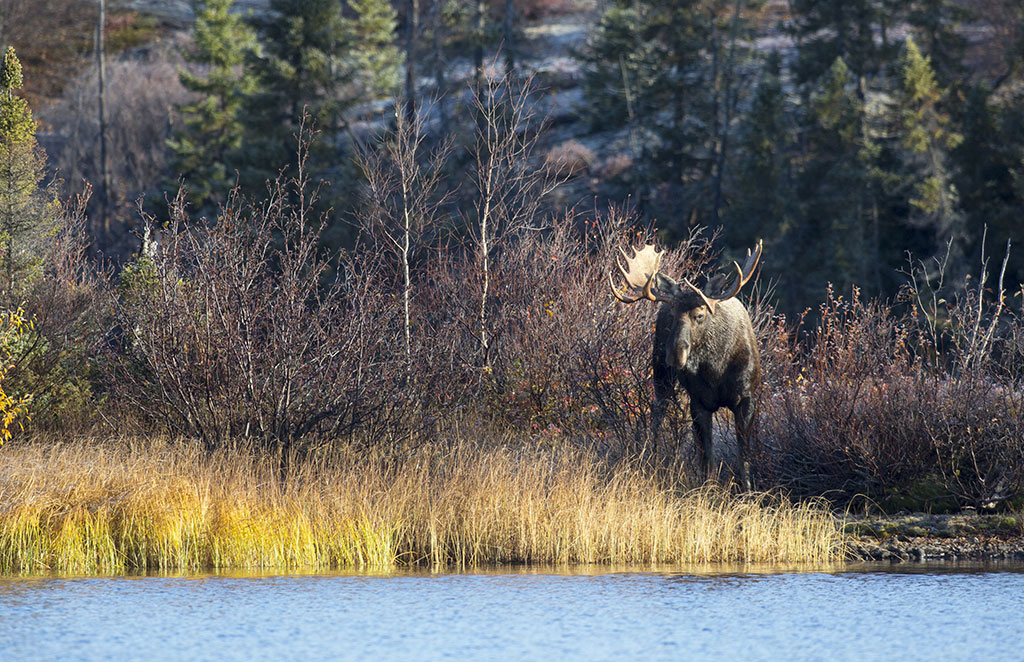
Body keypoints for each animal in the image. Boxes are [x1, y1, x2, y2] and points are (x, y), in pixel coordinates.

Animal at [606, 240, 761, 489]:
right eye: (672, 315)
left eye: (700, 315)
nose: (675, 354)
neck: (716, 369)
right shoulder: (698, 401)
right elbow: (706, 456)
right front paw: (707, 489)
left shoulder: (746, 397)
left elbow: (743, 455)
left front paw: (747, 491)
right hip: (660, 374)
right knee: (657, 409)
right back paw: (652, 456)